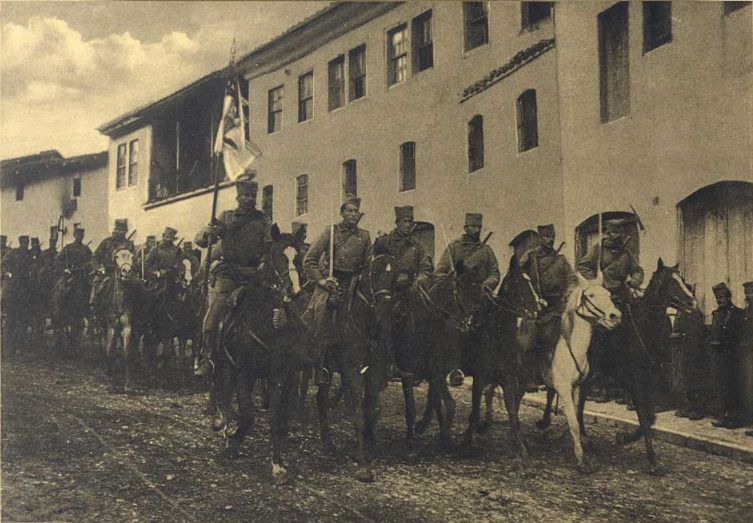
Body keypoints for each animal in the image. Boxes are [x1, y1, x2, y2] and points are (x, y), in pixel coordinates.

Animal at [544, 274, 620, 474]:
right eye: (590, 295)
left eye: (609, 294)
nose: (615, 316)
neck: (571, 346)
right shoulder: (563, 389)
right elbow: (574, 422)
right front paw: (581, 460)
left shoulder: (577, 387)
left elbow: (577, 417)